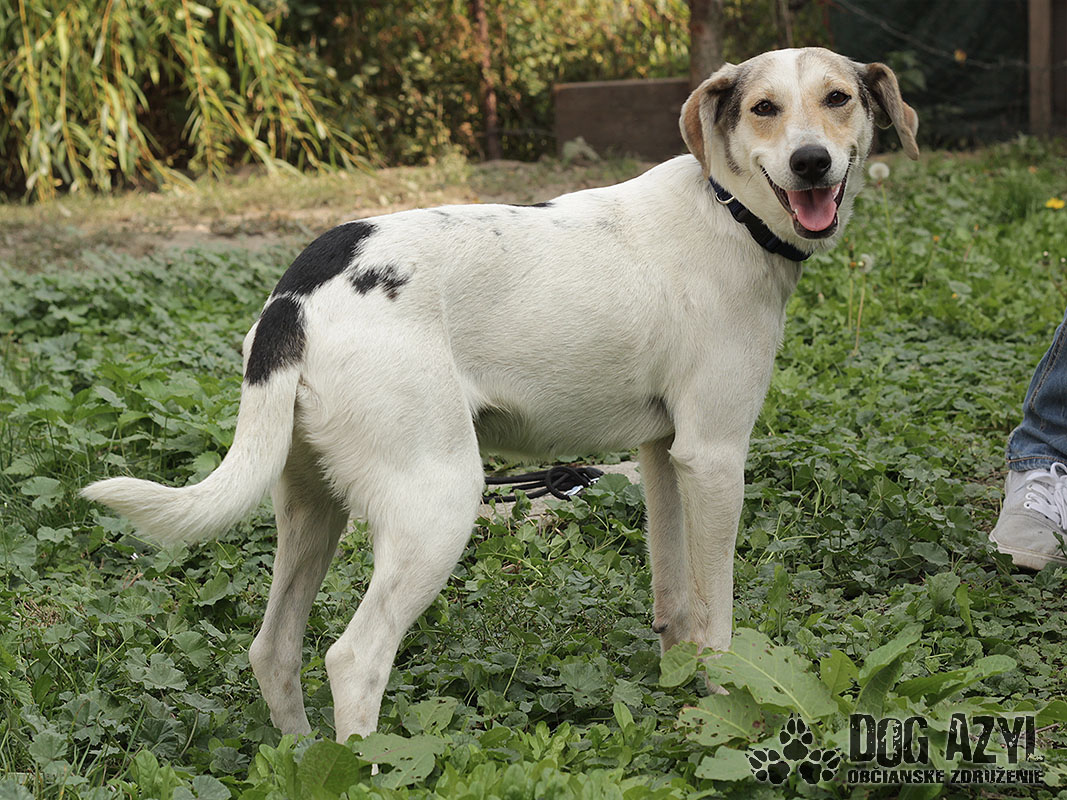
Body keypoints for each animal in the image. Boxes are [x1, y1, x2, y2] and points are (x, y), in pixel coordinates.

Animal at [83, 48, 918, 742]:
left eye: (838, 98)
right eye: (763, 108)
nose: (810, 163)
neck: (729, 210)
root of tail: (298, 289)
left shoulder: (663, 455)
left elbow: (674, 603)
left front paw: (680, 699)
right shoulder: (713, 458)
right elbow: (715, 620)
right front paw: (728, 715)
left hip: (310, 507)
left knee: (274, 648)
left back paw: (300, 757)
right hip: (439, 502)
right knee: (353, 658)